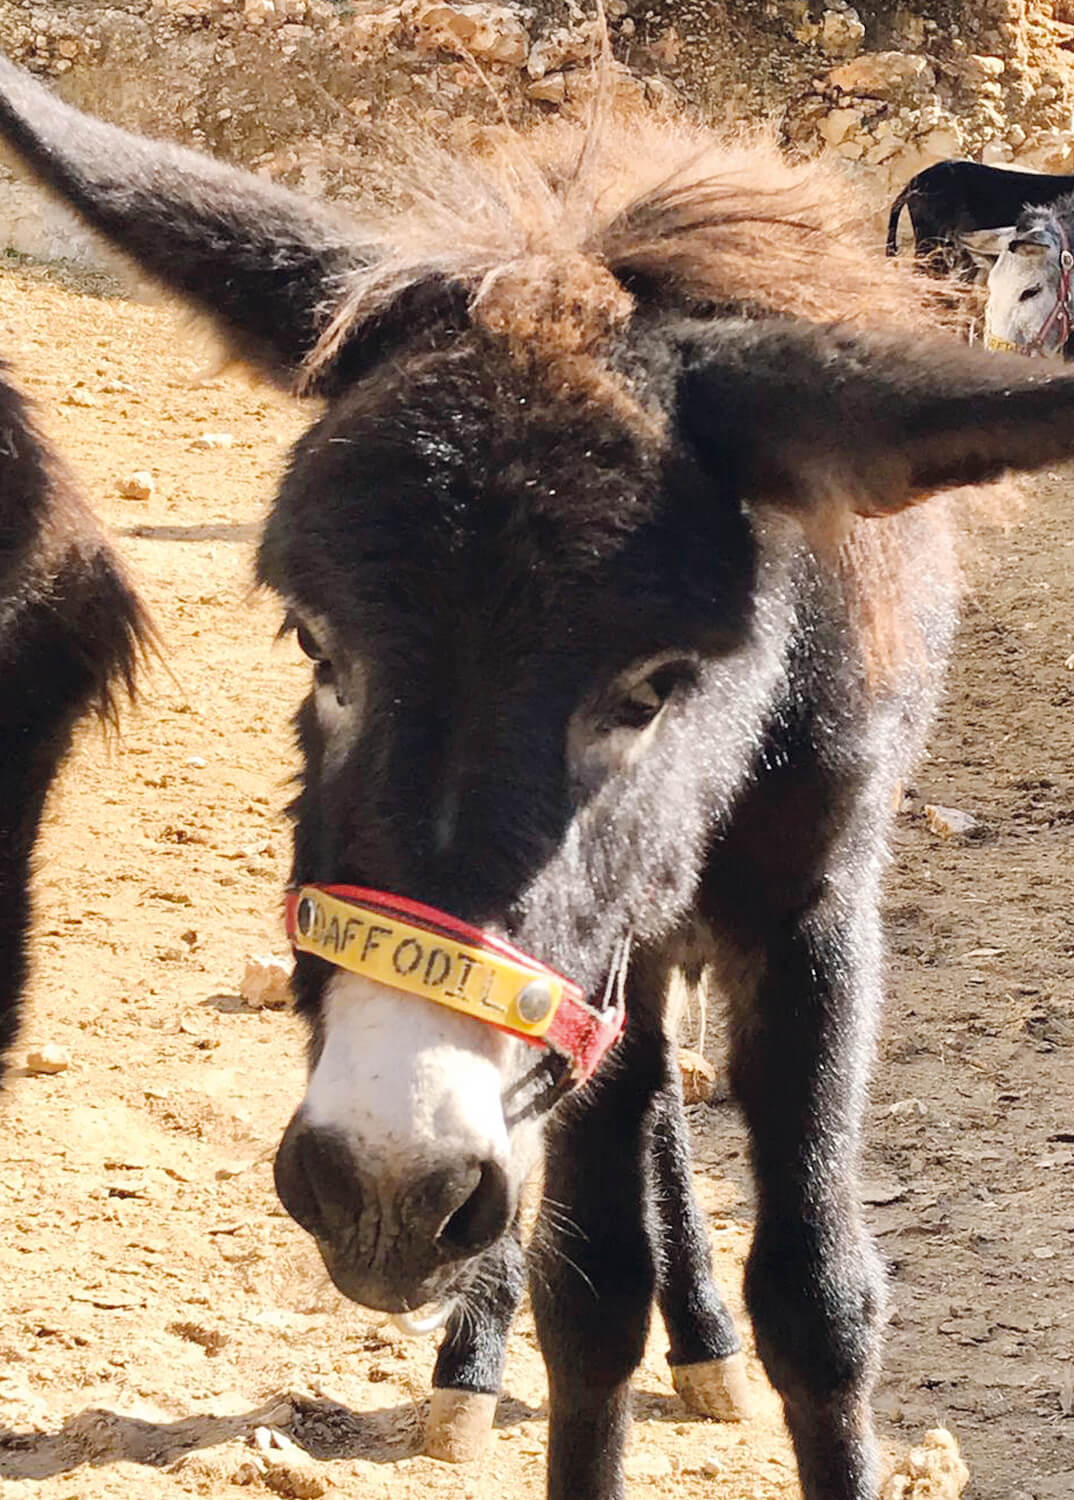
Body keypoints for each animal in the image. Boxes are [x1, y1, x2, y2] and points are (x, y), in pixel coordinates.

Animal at [8, 57, 1074, 1500]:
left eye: (653, 685)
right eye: (315, 645)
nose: (382, 1187)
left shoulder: (816, 903)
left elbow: (822, 1302)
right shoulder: (596, 961)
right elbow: (592, 1298)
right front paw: (520, 1323)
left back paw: (697, 1340)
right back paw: (490, 1348)